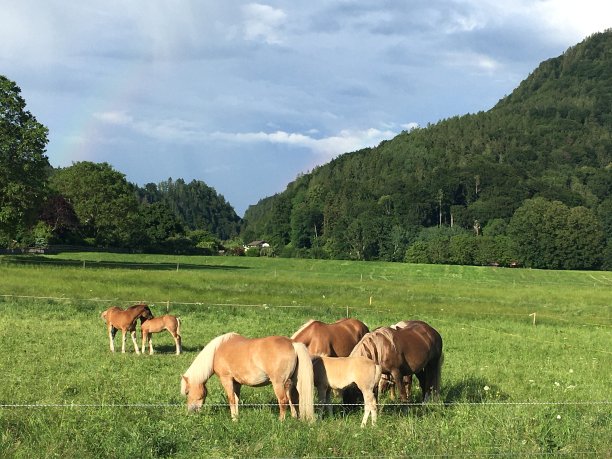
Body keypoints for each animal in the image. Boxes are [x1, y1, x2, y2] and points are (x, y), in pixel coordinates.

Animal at [180, 332, 316, 422]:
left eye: (187, 392)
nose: (190, 411)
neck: (217, 351)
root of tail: (292, 343)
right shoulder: (237, 383)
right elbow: (236, 399)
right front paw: (236, 417)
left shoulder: (226, 379)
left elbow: (231, 399)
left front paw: (233, 419)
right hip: (290, 382)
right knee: (293, 399)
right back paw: (294, 417)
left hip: (278, 383)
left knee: (283, 401)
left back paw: (280, 421)